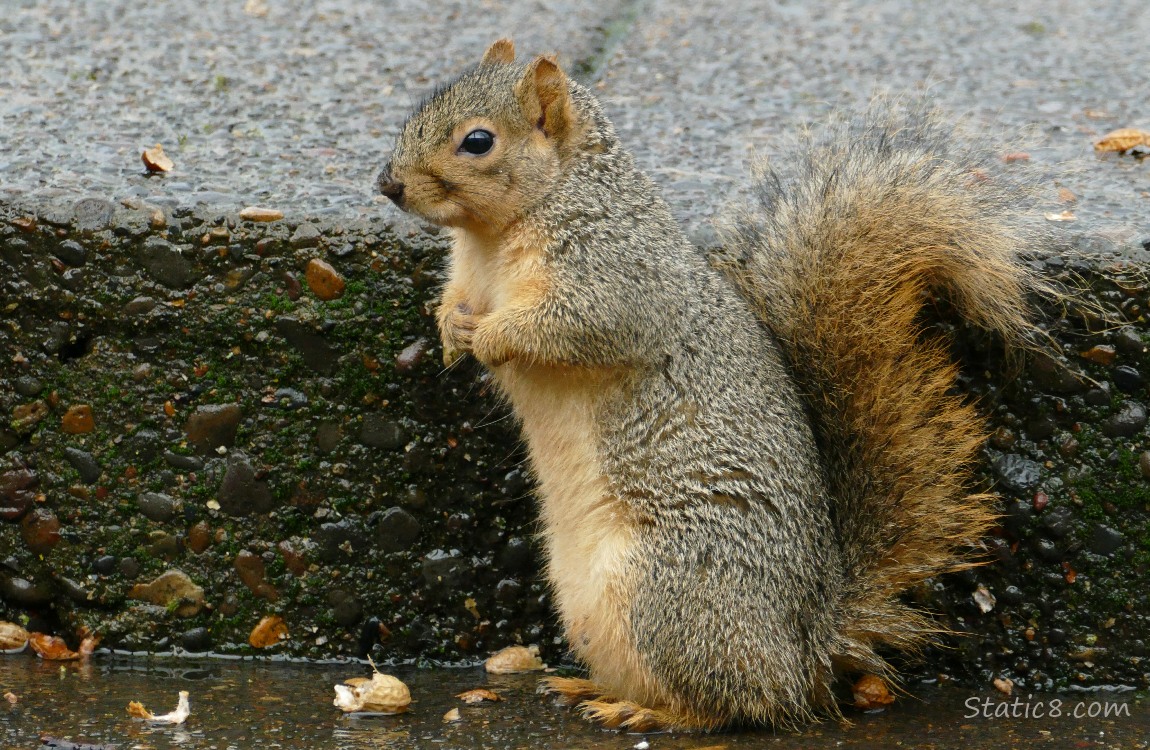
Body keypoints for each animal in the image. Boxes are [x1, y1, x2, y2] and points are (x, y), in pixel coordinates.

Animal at [374, 37, 1044, 731]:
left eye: (477, 142)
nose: (388, 184)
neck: (497, 234)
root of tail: (806, 646)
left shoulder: (616, 279)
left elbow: (573, 326)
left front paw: (491, 338)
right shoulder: (470, 273)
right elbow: (454, 300)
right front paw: (451, 330)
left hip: (666, 592)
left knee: (732, 704)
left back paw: (648, 713)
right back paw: (589, 688)